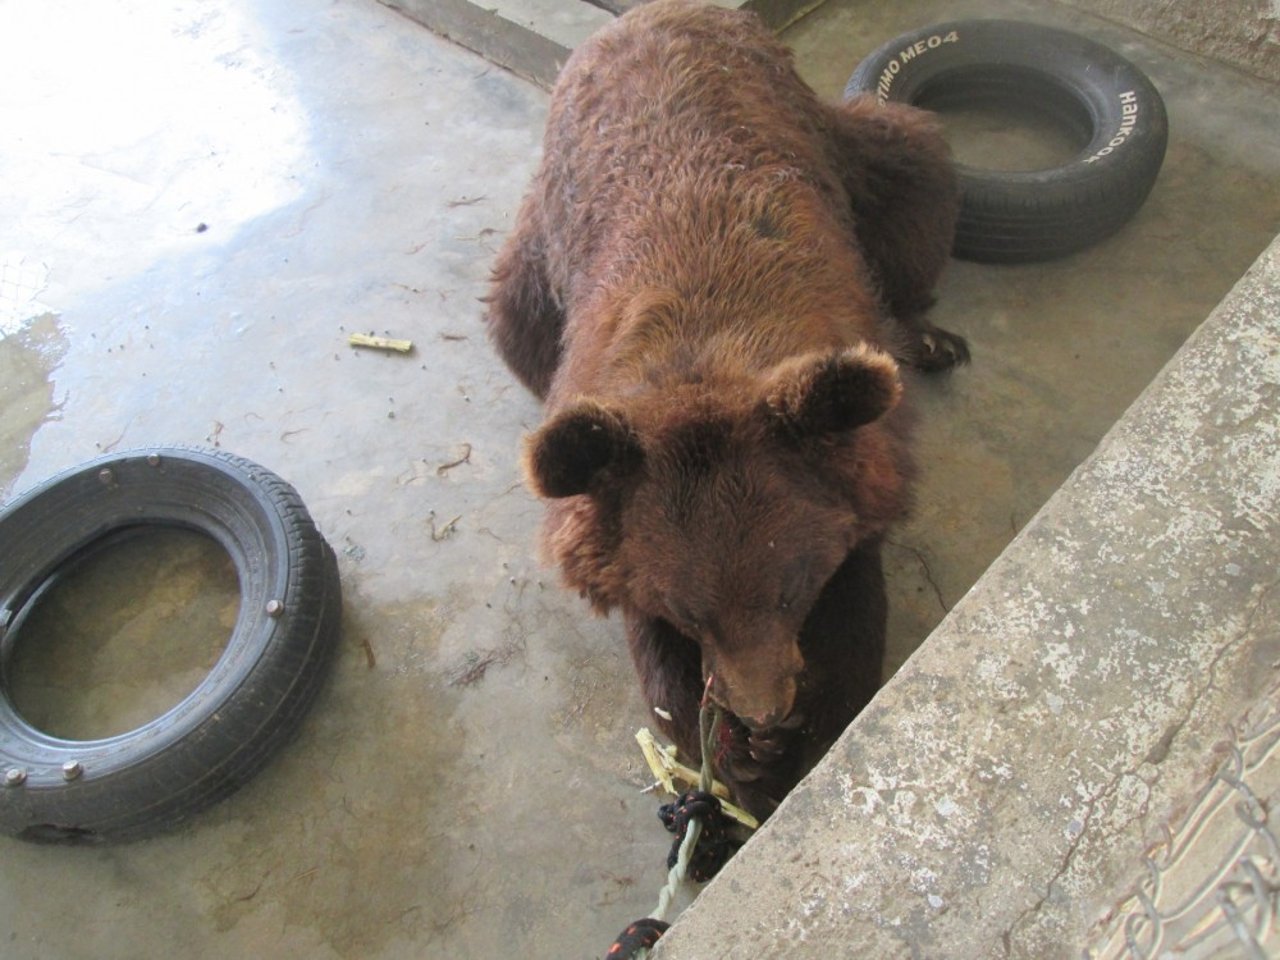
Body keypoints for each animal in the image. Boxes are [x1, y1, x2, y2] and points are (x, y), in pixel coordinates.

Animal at [483, 0, 962, 819]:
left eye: (792, 587)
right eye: (689, 610)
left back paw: (929, 335)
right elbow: (653, 658)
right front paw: (731, 757)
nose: (762, 708)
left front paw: (808, 731)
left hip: (855, 156)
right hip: (534, 272)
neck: (704, 353)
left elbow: (859, 607)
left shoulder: (853, 466)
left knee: (914, 185)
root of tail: (660, 11)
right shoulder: (618, 483)